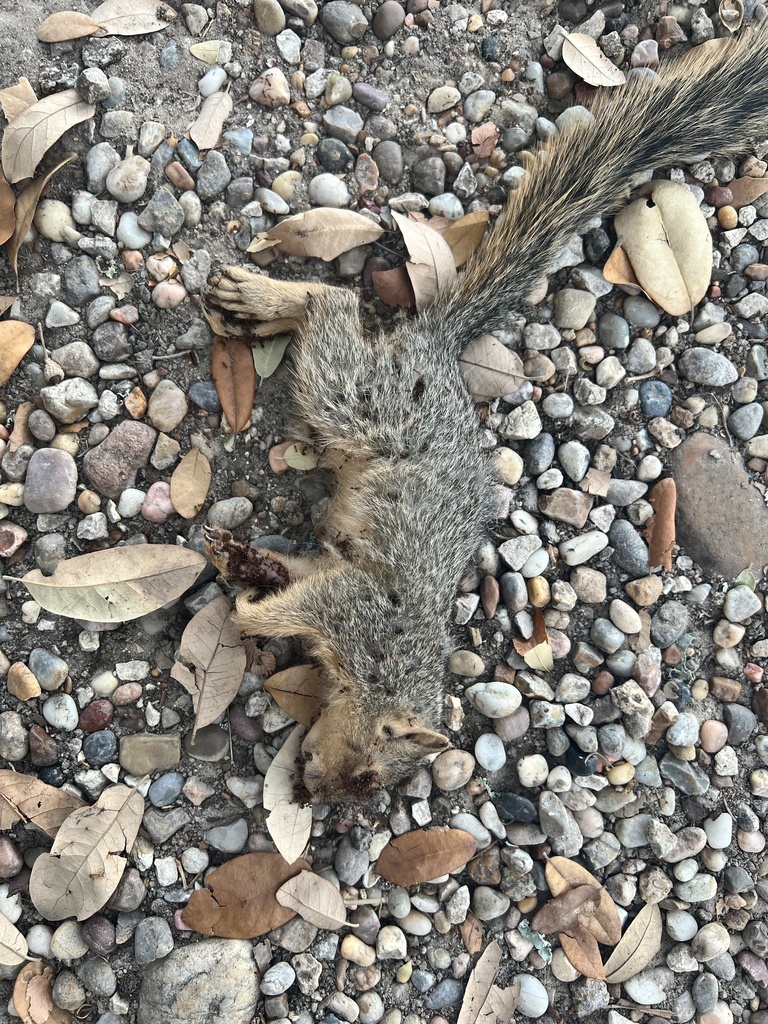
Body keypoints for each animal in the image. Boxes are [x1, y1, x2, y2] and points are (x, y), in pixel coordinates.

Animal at [202, 24, 768, 802]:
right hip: (356, 396)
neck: (388, 665)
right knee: (333, 305)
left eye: (368, 782)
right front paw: (246, 613)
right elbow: (289, 606)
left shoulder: (333, 584)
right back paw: (264, 297)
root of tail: (437, 346)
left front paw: (247, 567)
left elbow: (291, 574)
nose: (314, 794)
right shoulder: (354, 609)